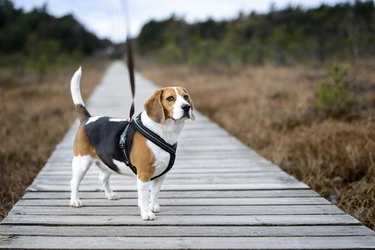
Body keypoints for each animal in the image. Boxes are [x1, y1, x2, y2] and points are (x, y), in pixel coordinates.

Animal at [68, 67, 195, 221]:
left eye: (186, 97)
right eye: (170, 98)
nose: (186, 107)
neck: (164, 131)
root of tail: (88, 119)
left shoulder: (161, 174)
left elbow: (154, 192)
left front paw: (153, 206)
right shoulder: (144, 173)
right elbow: (144, 196)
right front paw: (146, 213)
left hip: (108, 162)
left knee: (102, 177)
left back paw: (110, 195)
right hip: (81, 162)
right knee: (74, 182)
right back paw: (75, 201)